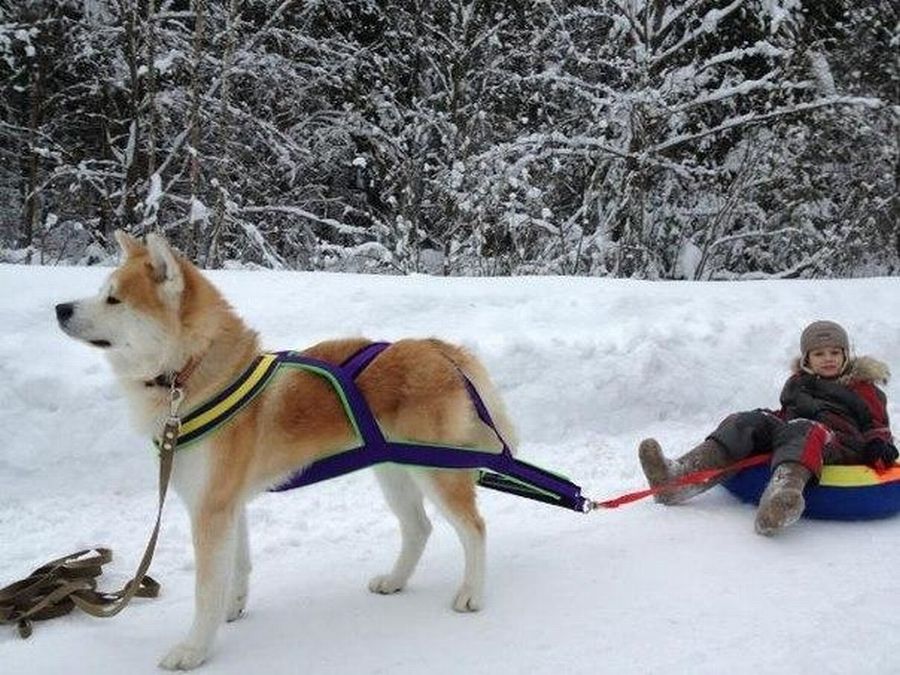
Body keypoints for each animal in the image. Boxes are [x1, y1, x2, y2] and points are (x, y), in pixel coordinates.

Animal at [56, 232, 516, 672]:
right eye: (102, 290)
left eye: (114, 298)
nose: (60, 307)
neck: (196, 375)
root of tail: (438, 348)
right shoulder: (228, 505)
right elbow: (237, 568)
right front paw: (233, 609)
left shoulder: (210, 511)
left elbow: (206, 591)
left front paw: (194, 649)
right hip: (394, 470)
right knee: (419, 528)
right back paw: (395, 580)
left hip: (436, 472)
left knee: (475, 528)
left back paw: (471, 592)